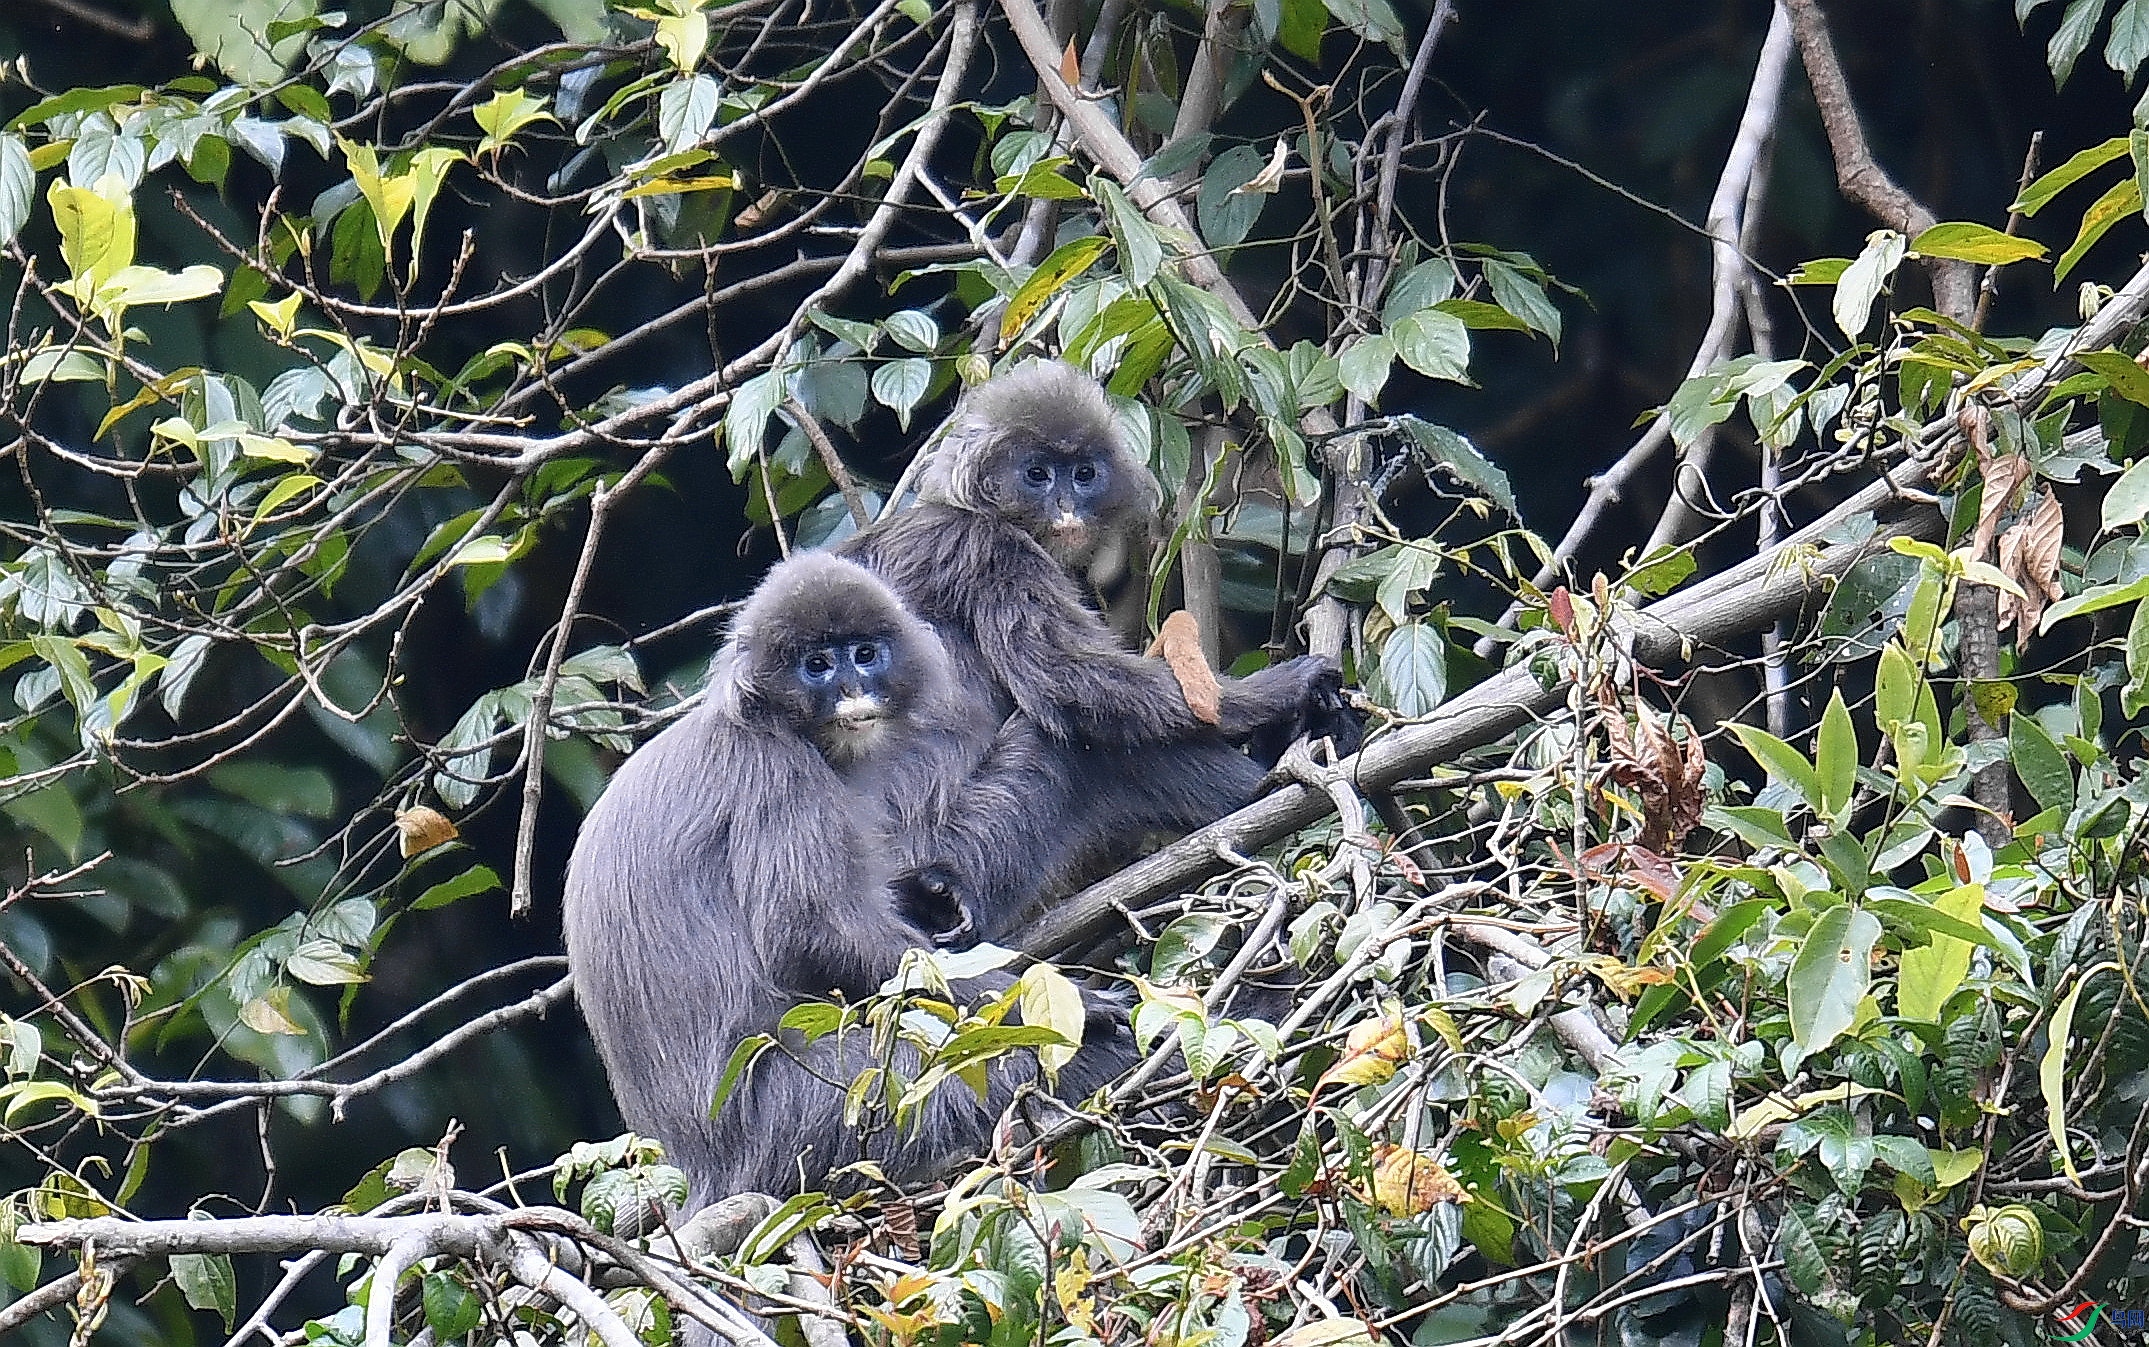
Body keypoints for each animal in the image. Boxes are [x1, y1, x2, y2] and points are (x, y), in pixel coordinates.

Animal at [571, 554, 1143, 1203]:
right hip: (809, 1116)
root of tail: (700, 1166)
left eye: (864, 654)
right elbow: (814, 934)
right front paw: (1072, 1010)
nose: (851, 690)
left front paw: (941, 896)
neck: (760, 719)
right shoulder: (777, 772)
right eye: (816, 666)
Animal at [838, 363, 1358, 945]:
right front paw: (1284, 690)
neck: (961, 508)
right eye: (1038, 475)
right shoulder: (986, 549)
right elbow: (1068, 679)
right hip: (960, 842)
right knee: (1074, 748)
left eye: (1083, 474)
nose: (1066, 506)